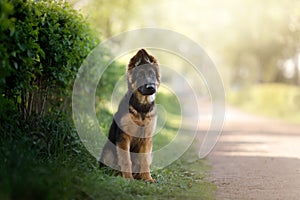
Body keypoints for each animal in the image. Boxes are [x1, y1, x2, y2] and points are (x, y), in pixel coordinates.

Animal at [99, 49, 161, 182]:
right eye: (141, 75)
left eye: (152, 74)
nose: (151, 87)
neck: (142, 108)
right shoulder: (124, 137)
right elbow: (126, 159)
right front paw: (128, 178)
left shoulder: (147, 139)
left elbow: (145, 162)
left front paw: (148, 179)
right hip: (108, 150)